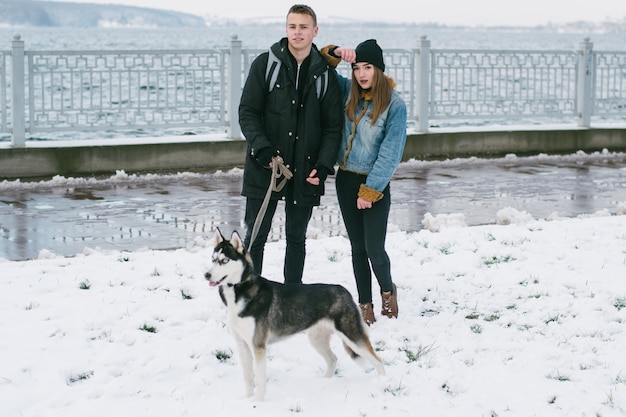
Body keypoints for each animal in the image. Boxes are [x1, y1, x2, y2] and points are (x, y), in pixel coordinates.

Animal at [204, 228, 386, 400]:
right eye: (213, 259)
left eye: (225, 260)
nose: (206, 275)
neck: (239, 290)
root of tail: (344, 290)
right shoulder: (242, 345)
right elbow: (248, 378)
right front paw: (247, 400)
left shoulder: (258, 346)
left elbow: (259, 380)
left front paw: (258, 402)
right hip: (316, 339)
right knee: (333, 359)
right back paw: (325, 383)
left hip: (352, 336)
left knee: (378, 361)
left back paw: (382, 384)